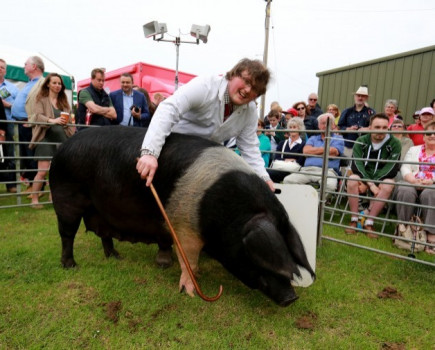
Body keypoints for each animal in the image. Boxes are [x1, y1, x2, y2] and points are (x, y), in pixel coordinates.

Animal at [51, 126, 316, 306]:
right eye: (255, 255)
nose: (291, 297)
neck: (225, 210)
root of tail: (61, 148)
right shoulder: (183, 226)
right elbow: (189, 260)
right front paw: (189, 290)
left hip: (99, 209)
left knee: (104, 233)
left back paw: (115, 257)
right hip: (65, 197)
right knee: (67, 234)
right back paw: (70, 265)